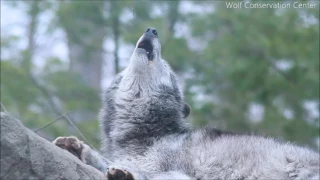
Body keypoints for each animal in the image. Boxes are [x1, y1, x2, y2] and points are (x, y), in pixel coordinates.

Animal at [53, 27, 318, 179]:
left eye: (167, 68)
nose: (152, 29)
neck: (144, 137)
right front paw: (76, 149)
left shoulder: (173, 170)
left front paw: (120, 172)